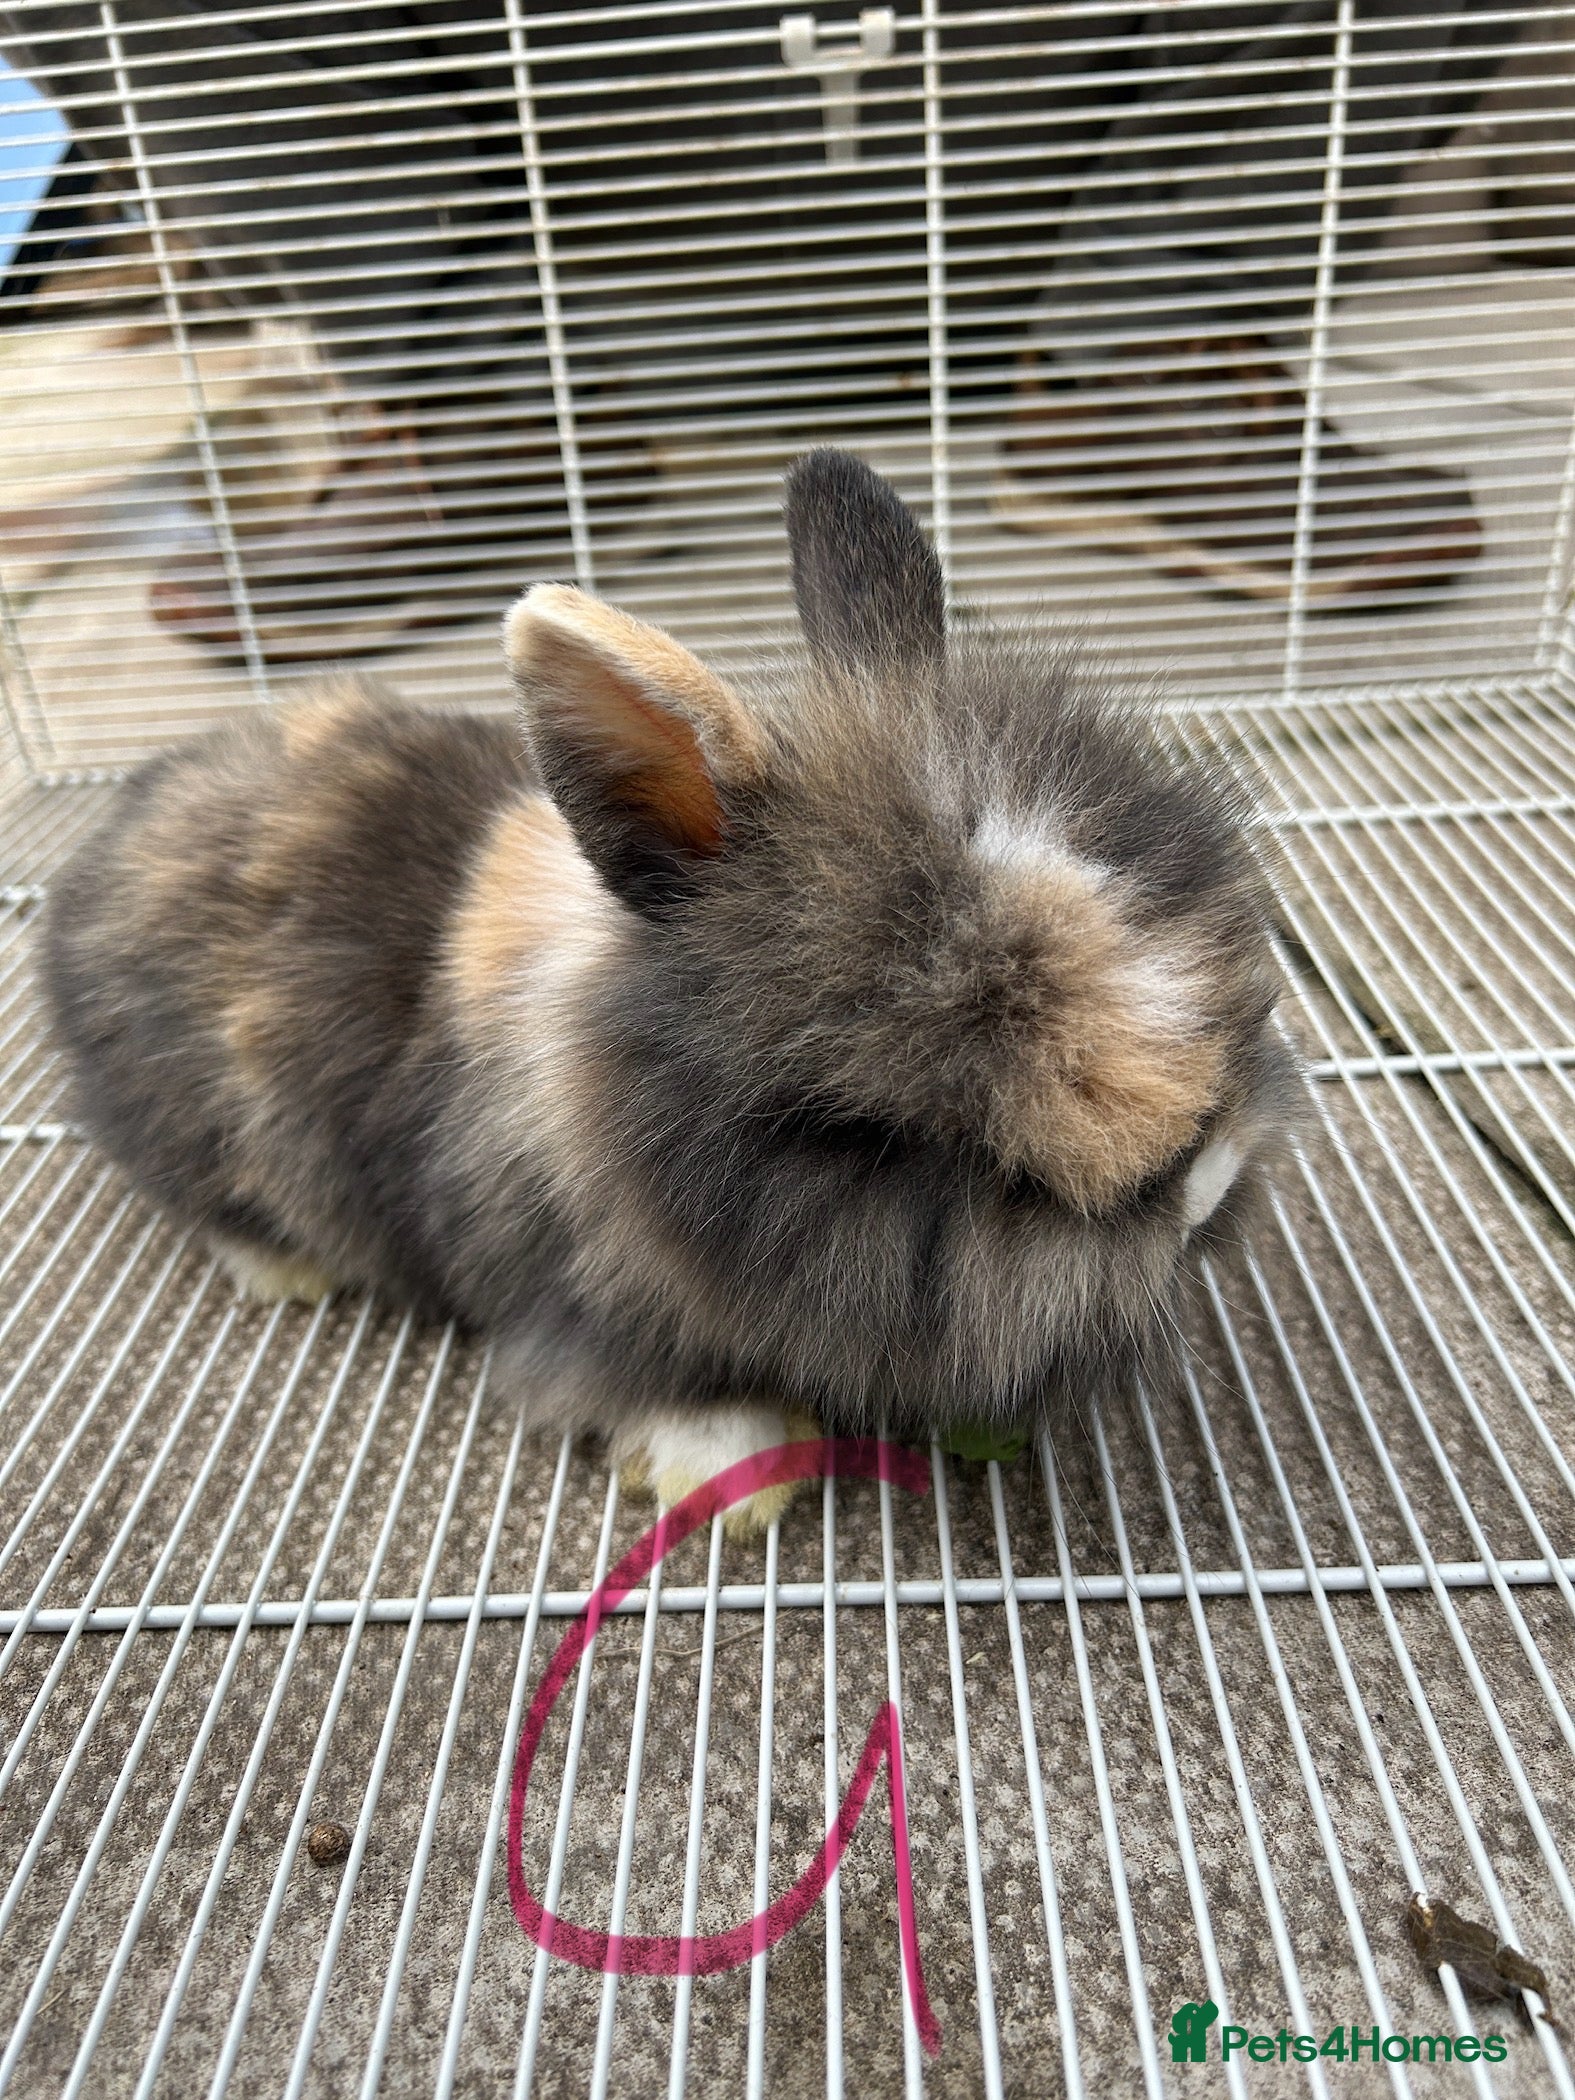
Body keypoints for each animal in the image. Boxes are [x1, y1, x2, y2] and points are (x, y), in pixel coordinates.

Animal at [42, 448, 1299, 1533]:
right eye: (878, 1133)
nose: (1204, 1188)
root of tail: (109, 830)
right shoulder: (580, 1305)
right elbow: (646, 1392)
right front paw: (743, 1473)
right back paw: (287, 1270)